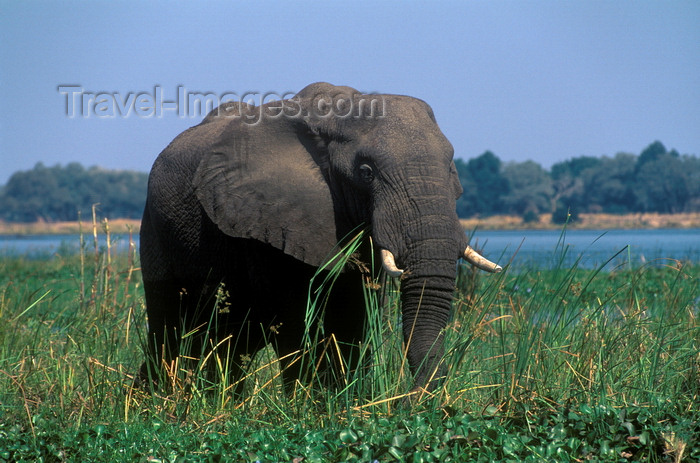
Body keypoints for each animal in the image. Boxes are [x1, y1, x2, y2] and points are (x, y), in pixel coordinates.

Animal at [139, 81, 500, 394]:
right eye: (366, 172)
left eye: (451, 168)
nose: (408, 404)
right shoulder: (268, 221)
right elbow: (295, 322)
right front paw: (308, 408)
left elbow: (356, 320)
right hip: (155, 232)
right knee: (170, 330)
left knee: (229, 344)